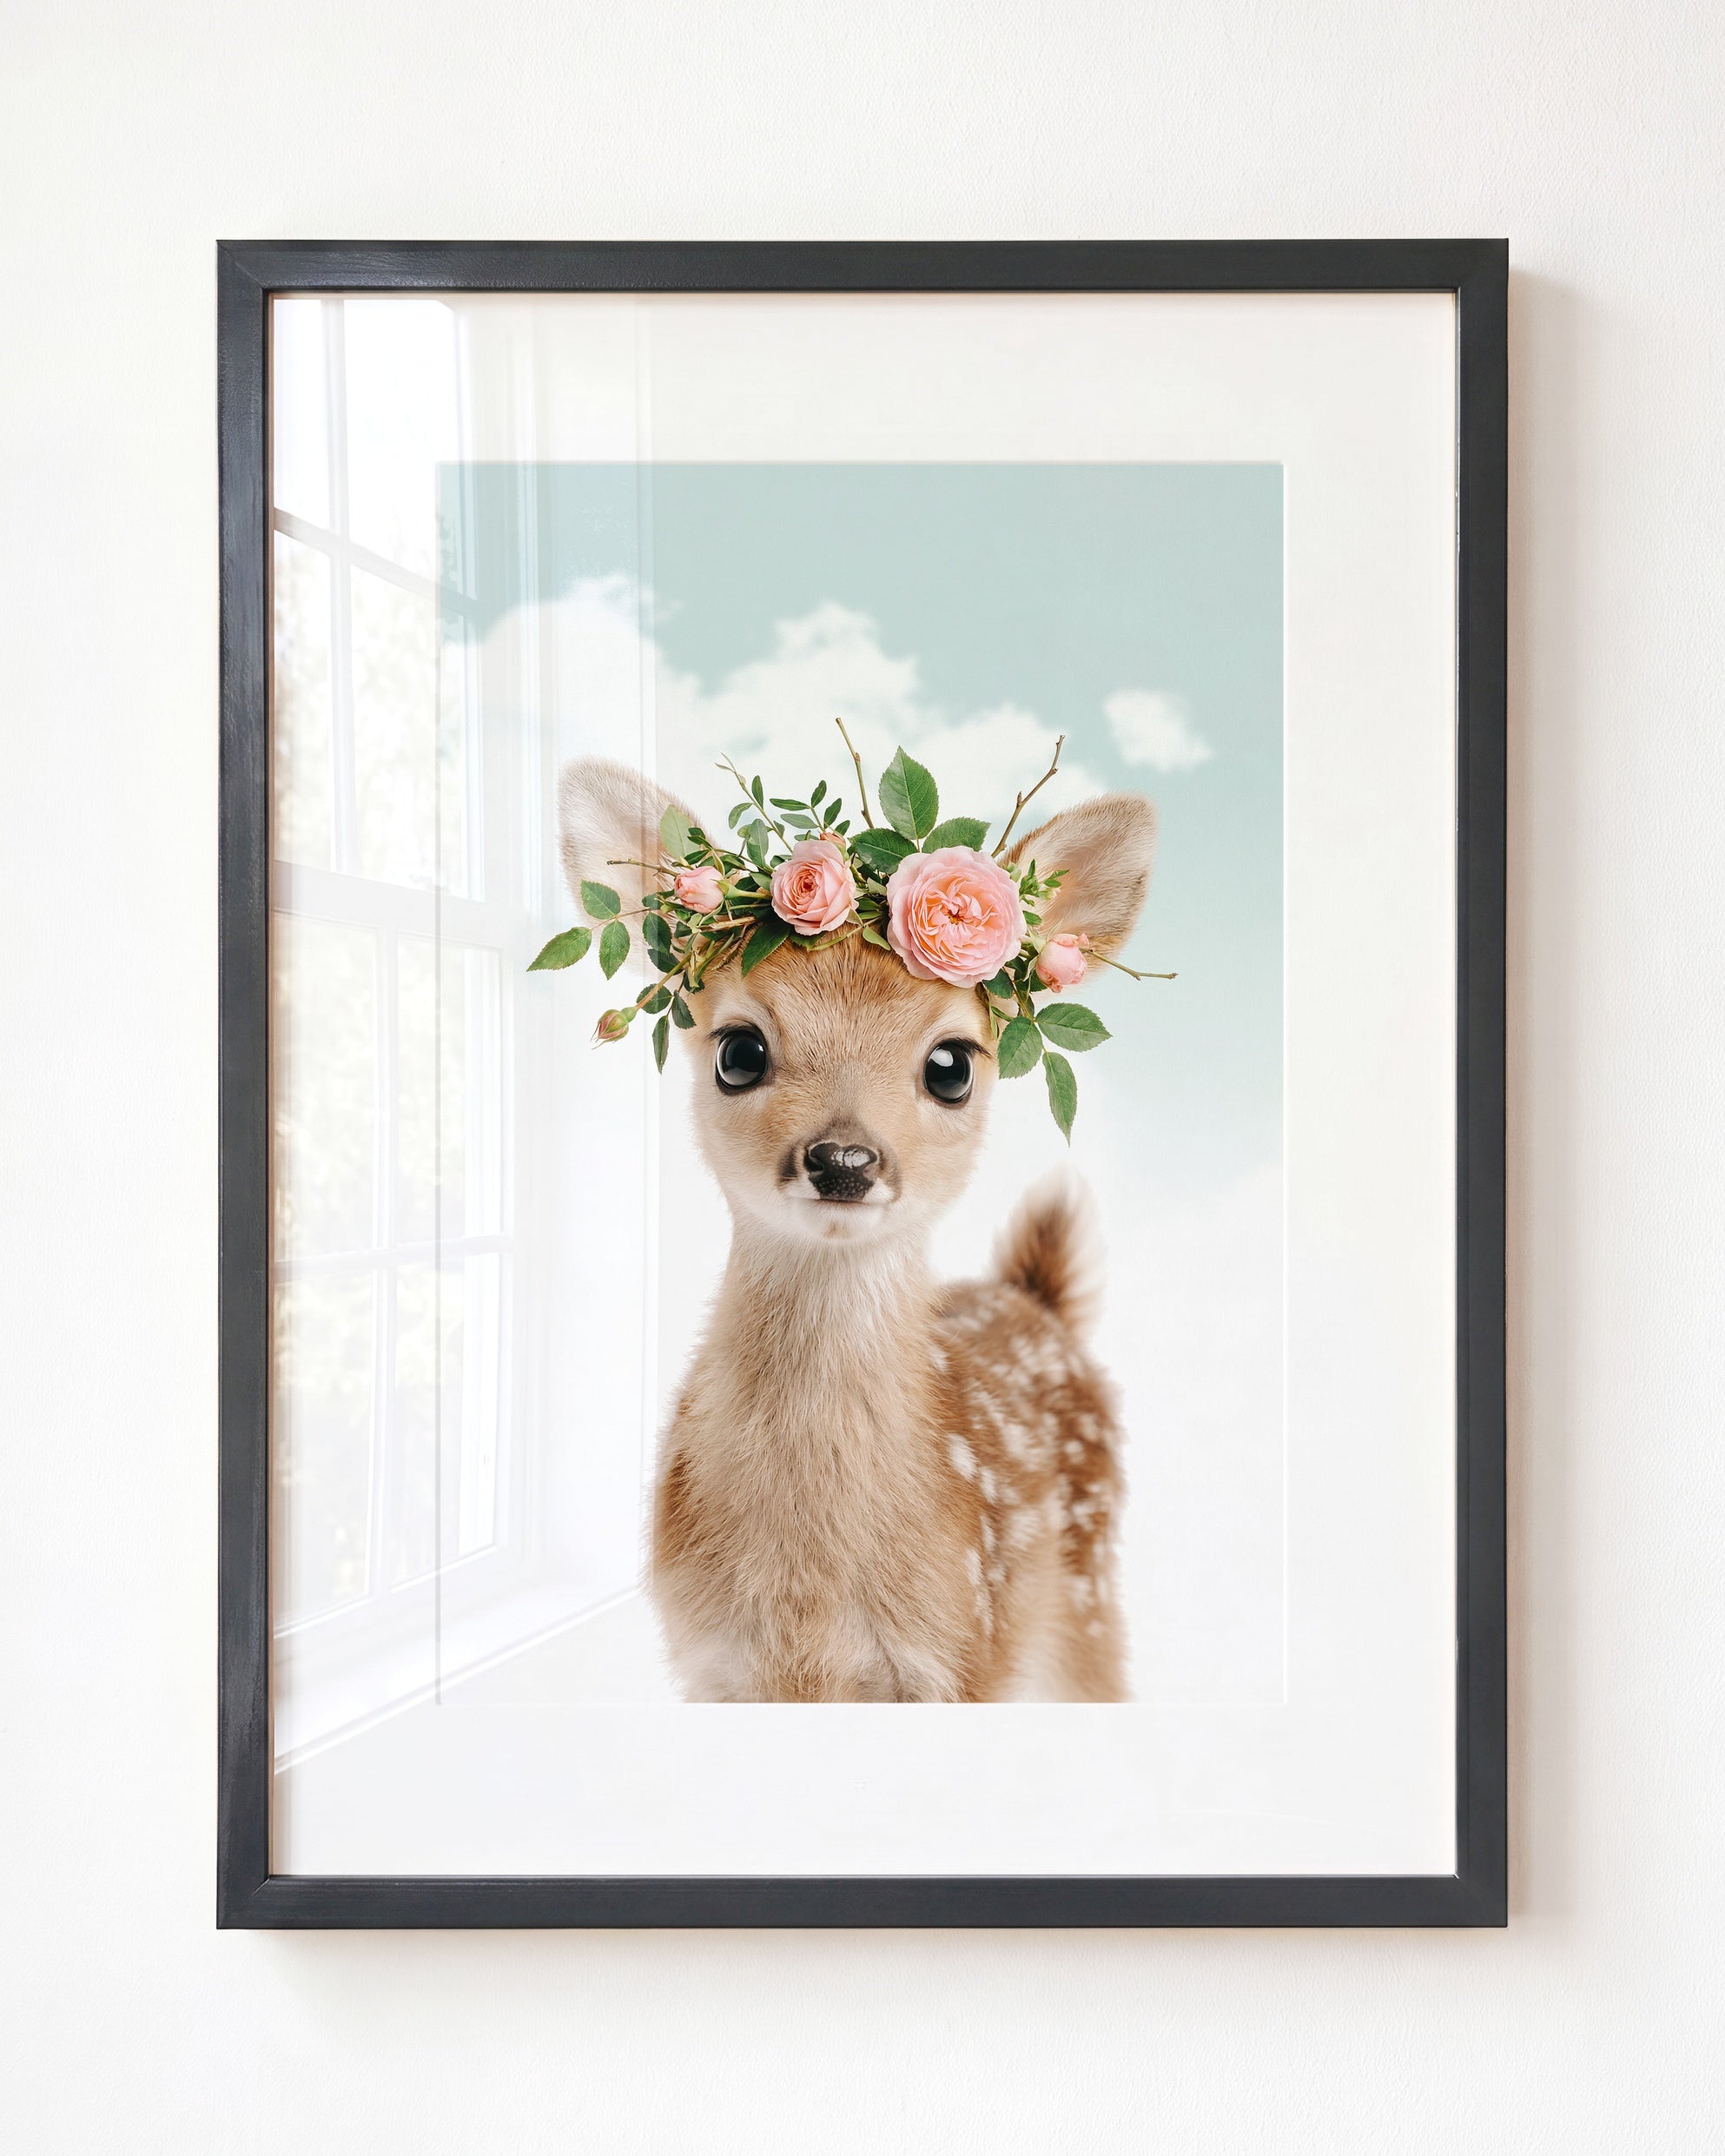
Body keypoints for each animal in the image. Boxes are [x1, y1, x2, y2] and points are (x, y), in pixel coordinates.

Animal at [558, 756, 1157, 1702]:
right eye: (738, 1051)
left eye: (951, 1065)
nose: (843, 1159)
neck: (810, 1597)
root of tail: (1037, 1301)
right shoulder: (712, 1663)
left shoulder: (960, 1653)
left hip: (1085, 1601)